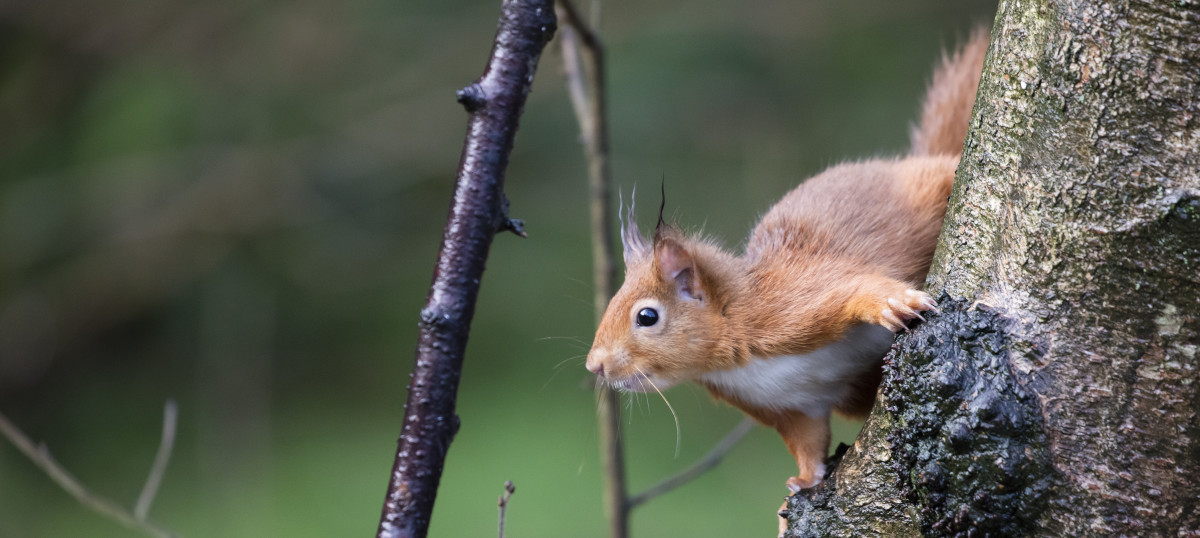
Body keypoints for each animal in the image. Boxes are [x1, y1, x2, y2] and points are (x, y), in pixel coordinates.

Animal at [585, 29, 988, 492]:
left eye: (646, 317)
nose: (595, 365)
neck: (737, 362)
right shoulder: (791, 407)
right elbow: (807, 443)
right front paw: (800, 487)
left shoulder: (795, 304)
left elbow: (853, 287)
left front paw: (890, 303)